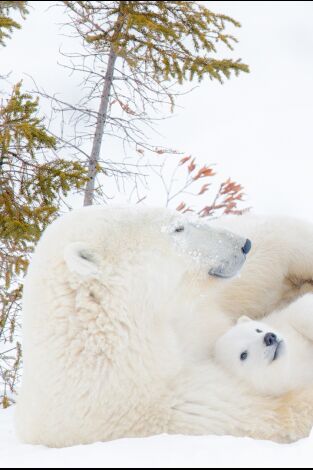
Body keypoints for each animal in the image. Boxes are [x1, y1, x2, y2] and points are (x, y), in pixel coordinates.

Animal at [15, 207, 313, 446]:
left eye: (179, 218)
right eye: (178, 228)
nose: (243, 245)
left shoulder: (191, 309)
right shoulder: (152, 404)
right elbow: (266, 410)